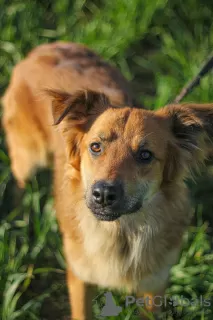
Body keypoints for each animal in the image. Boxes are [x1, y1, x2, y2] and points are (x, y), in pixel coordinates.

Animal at [1, 41, 213, 318]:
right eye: (95, 147)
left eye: (145, 155)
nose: (102, 194)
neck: (119, 233)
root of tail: (48, 46)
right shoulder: (80, 276)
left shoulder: (154, 284)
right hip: (28, 155)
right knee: (20, 181)